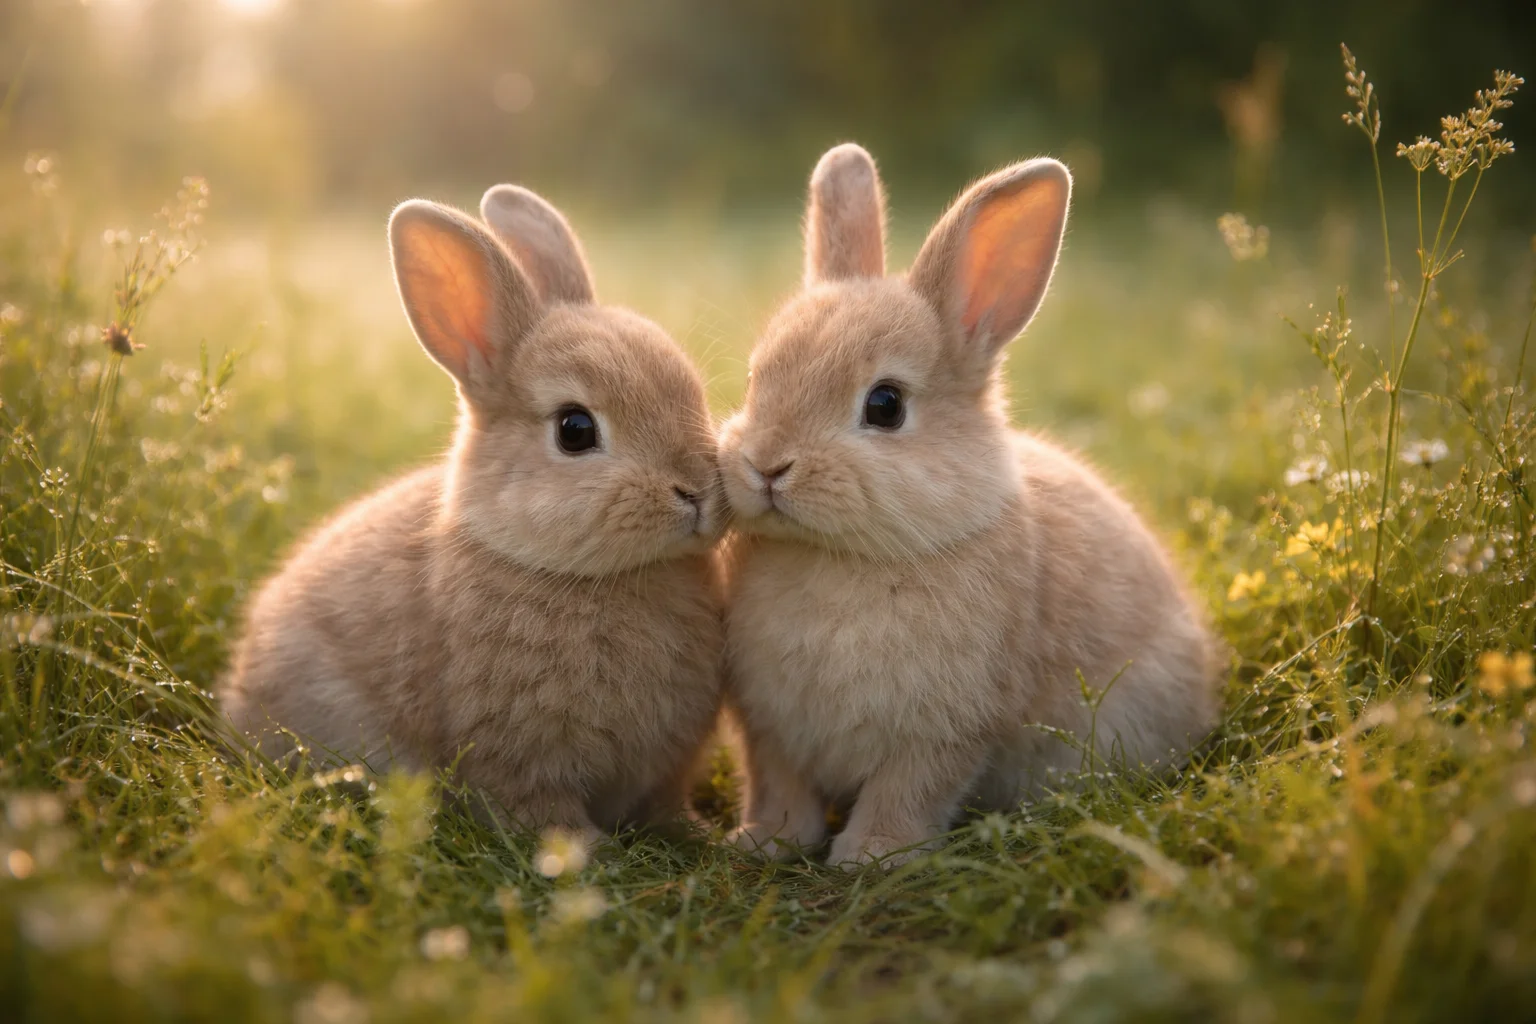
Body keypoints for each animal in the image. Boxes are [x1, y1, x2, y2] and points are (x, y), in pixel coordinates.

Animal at [221, 185, 726, 840]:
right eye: (575, 429)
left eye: (696, 394)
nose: (697, 489)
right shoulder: (518, 756)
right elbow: (538, 809)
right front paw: (583, 850)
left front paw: (697, 833)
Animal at [718, 144, 1219, 868]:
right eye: (758, 377)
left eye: (886, 405)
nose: (765, 465)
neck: (839, 555)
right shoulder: (769, 728)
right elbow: (780, 787)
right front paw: (765, 842)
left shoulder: (944, 731)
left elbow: (908, 791)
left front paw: (872, 855)